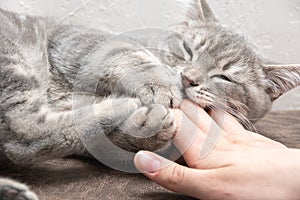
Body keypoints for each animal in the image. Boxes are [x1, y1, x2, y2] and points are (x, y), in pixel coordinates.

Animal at [0, 0, 300, 199]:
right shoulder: (76, 40)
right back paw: (121, 104)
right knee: (23, 132)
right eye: (188, 49)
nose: (188, 78)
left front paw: (145, 127)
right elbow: (130, 56)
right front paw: (156, 83)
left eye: (224, 77)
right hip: (14, 58)